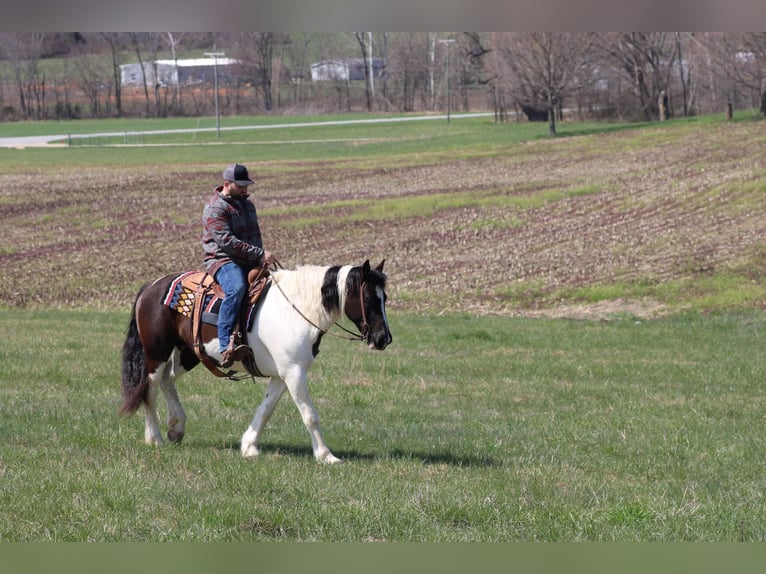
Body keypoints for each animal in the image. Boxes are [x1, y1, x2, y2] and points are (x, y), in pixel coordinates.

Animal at [122, 258, 392, 466]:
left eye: (385, 298)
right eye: (369, 296)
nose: (384, 339)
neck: (296, 310)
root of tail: (151, 286)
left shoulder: (282, 376)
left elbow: (266, 409)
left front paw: (249, 445)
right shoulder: (294, 373)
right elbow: (310, 415)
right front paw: (326, 456)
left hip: (189, 354)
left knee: (168, 379)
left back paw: (176, 426)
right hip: (156, 353)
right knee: (150, 389)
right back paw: (154, 437)